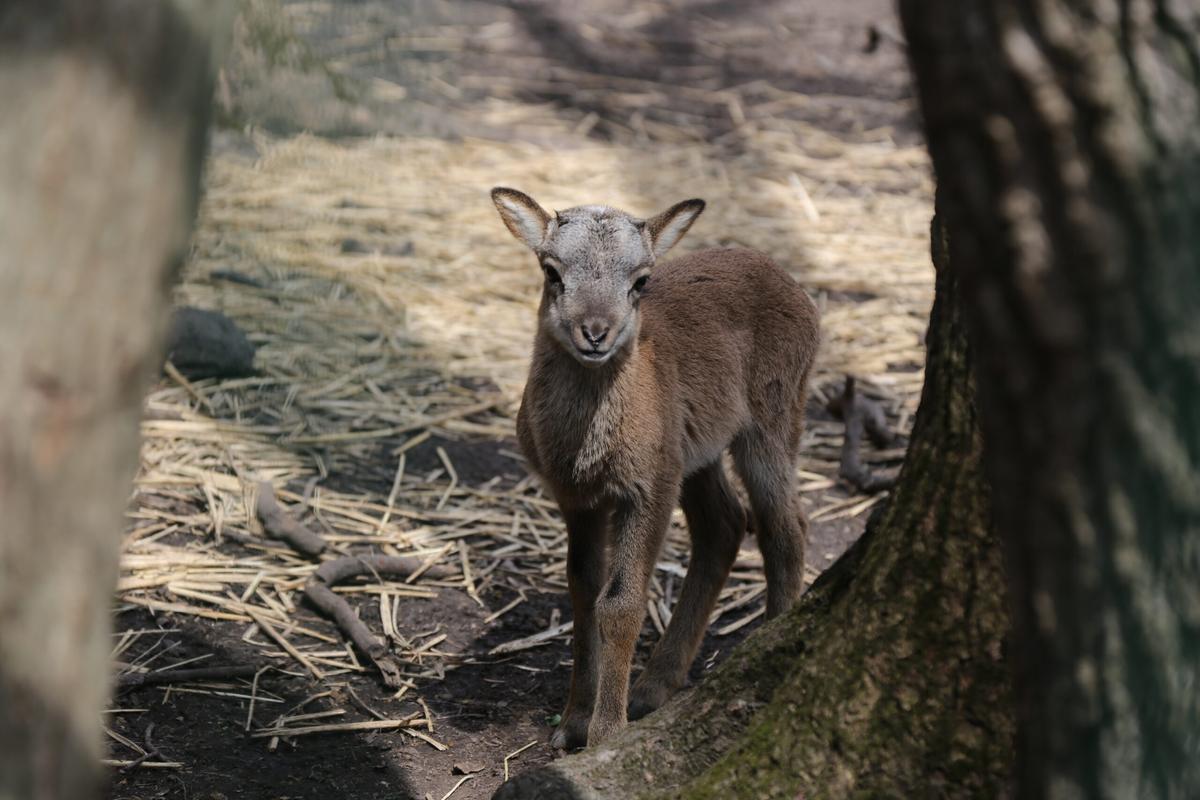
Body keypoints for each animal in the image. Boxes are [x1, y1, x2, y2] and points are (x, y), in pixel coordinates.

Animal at [487, 189, 816, 753]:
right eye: (552, 271)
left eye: (641, 280)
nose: (595, 333)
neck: (589, 445)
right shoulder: (577, 499)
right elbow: (583, 591)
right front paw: (573, 724)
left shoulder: (648, 489)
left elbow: (621, 604)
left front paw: (604, 734)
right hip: (695, 452)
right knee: (724, 526)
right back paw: (651, 688)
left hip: (772, 419)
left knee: (784, 526)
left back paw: (767, 641)